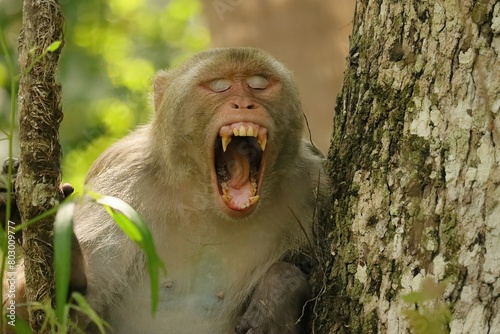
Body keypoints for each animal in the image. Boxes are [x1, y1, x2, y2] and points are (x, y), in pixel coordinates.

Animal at [2, 47, 324, 334]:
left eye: (259, 84)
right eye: (218, 86)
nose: (244, 104)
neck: (205, 203)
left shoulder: (311, 186)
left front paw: (278, 294)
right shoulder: (122, 186)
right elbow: (53, 318)